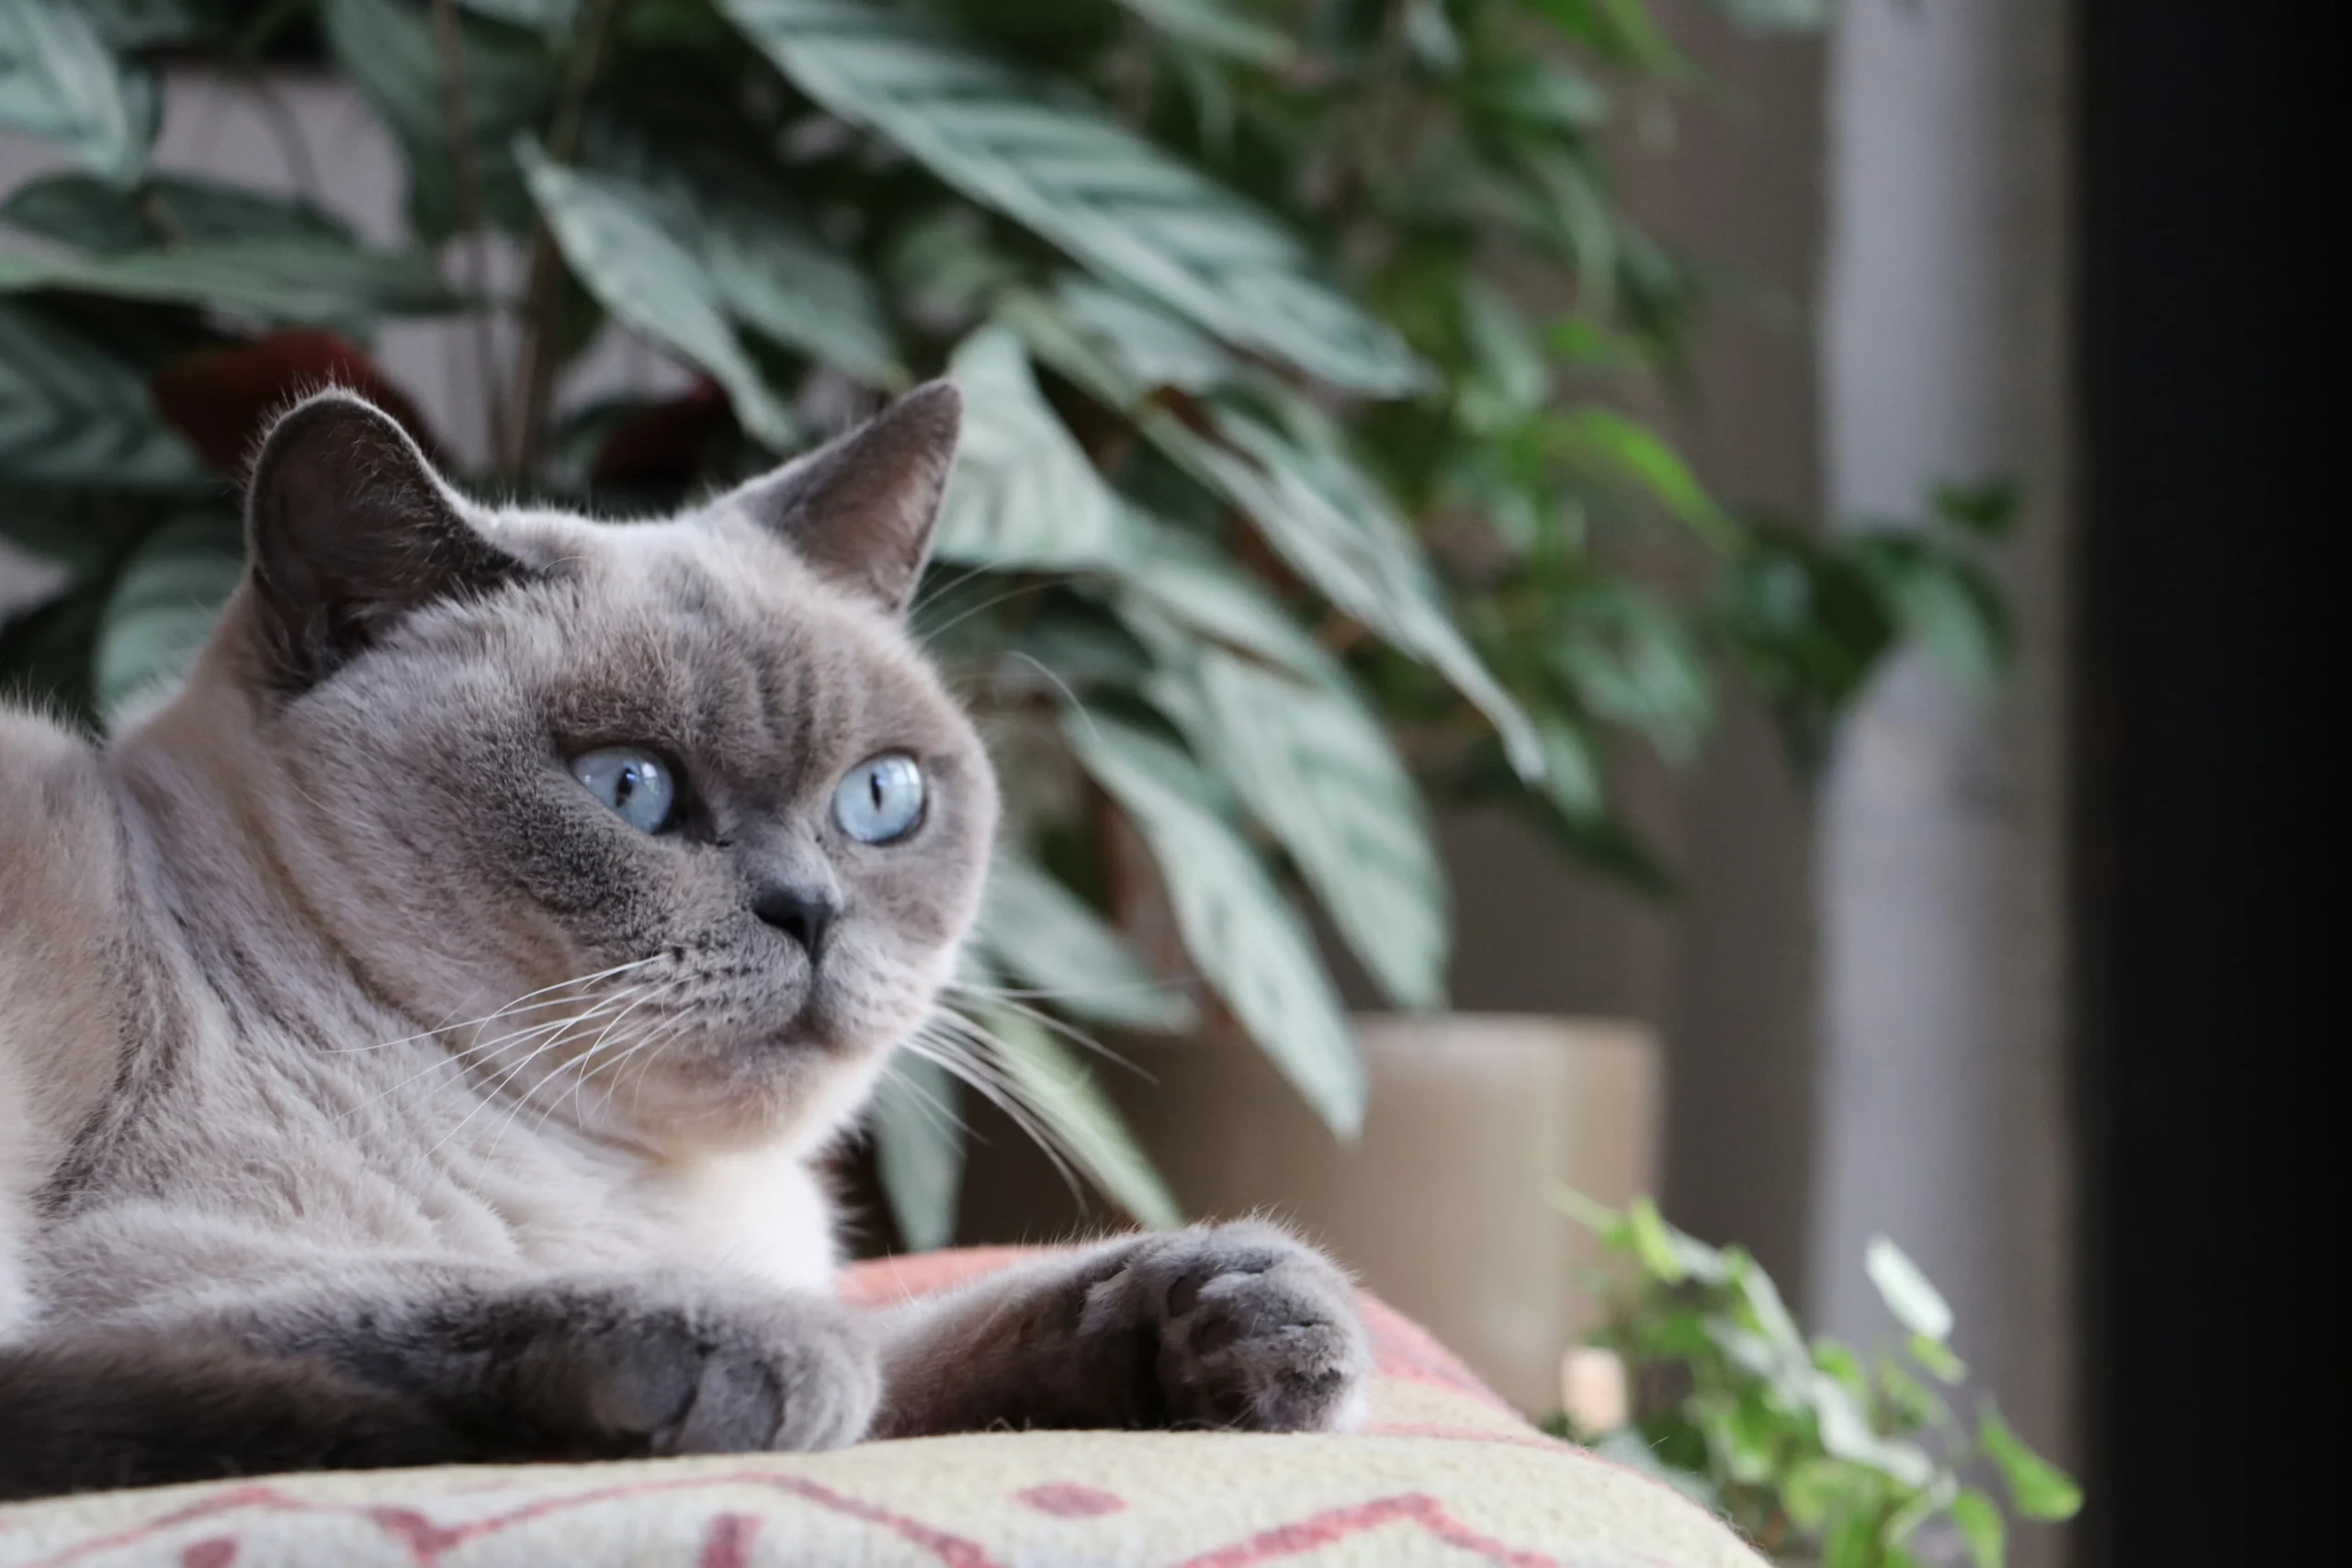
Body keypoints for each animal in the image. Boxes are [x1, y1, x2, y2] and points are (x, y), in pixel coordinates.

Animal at [0, 385, 1363, 1504]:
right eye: (632, 788)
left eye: (880, 799)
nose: (811, 911)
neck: (663, 1189)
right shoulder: (146, 1244)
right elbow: (421, 1297)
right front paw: (747, 1348)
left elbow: (931, 1335)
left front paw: (1239, 1310)